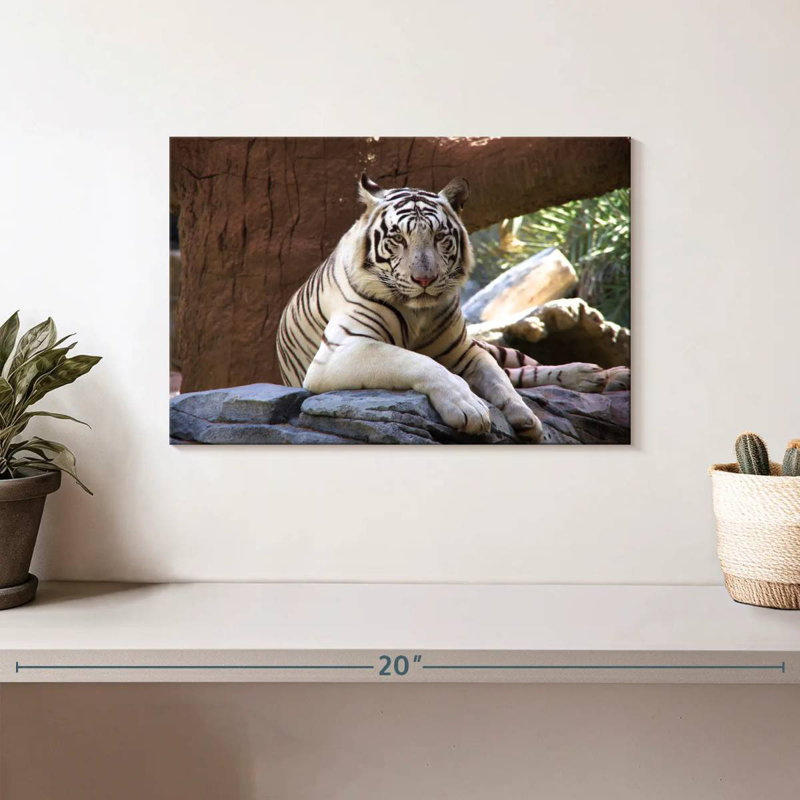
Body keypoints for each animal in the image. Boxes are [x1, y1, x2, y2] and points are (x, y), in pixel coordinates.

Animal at [277, 174, 628, 442]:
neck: (419, 312)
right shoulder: (341, 351)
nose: (424, 279)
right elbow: (420, 362)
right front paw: (470, 409)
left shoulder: (466, 350)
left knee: (523, 368)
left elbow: (498, 379)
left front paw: (524, 415)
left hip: (494, 346)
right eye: (398, 238)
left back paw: (601, 375)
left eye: (439, 237)